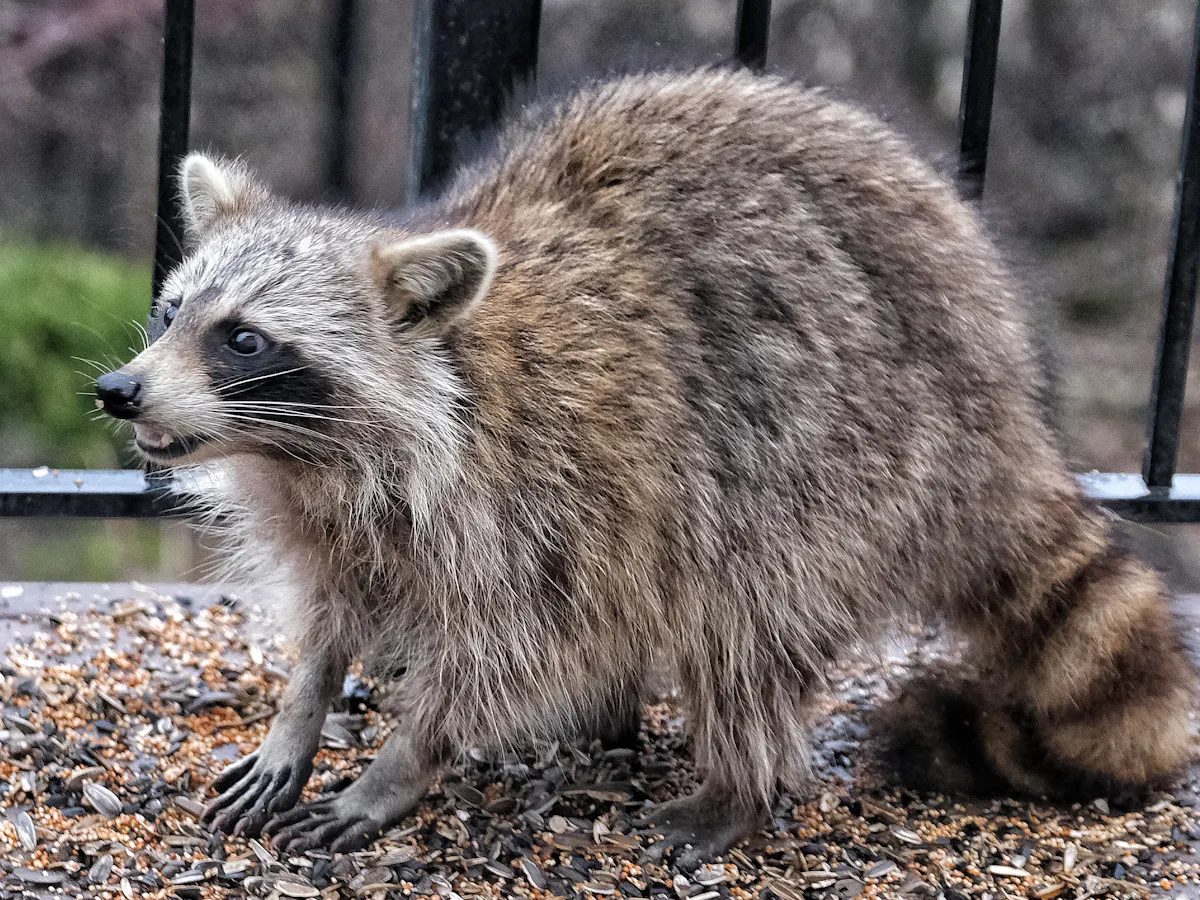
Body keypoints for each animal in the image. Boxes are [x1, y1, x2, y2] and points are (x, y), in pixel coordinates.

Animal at [96, 70, 1195, 861]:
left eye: (243, 340)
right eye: (170, 313)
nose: (119, 389)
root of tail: (1009, 413)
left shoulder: (549, 493)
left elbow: (508, 656)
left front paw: (404, 762)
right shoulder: (322, 513)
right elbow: (331, 609)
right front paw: (304, 704)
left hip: (848, 464)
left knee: (749, 616)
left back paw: (744, 783)